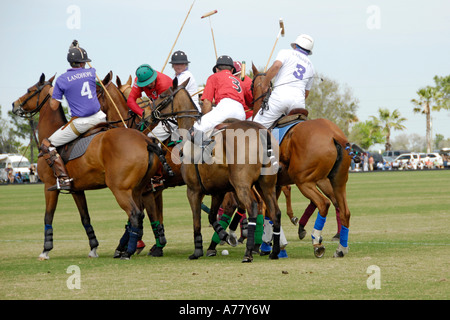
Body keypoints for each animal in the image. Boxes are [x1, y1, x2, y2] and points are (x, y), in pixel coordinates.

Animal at [11, 73, 163, 260]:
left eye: (30, 90)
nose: (14, 104)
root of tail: (145, 140)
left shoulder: (49, 186)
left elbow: (48, 217)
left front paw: (45, 250)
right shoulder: (77, 189)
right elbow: (85, 218)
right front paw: (93, 248)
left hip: (119, 188)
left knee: (135, 214)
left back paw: (127, 252)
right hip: (138, 188)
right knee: (139, 214)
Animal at [151, 77, 284, 262]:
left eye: (162, 95)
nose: (149, 113)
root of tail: (261, 132)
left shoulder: (193, 190)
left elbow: (197, 221)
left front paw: (197, 251)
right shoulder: (218, 191)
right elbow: (212, 215)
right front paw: (224, 236)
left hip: (242, 184)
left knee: (252, 207)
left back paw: (249, 252)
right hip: (265, 184)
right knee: (275, 212)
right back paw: (274, 251)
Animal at [251, 63, 354, 258]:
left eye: (251, 85)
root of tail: (334, 135)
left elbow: (268, 211)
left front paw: (267, 245)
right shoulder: (275, 184)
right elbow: (270, 213)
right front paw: (269, 245)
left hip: (303, 180)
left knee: (323, 203)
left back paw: (317, 242)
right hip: (337, 180)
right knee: (344, 210)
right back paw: (340, 248)